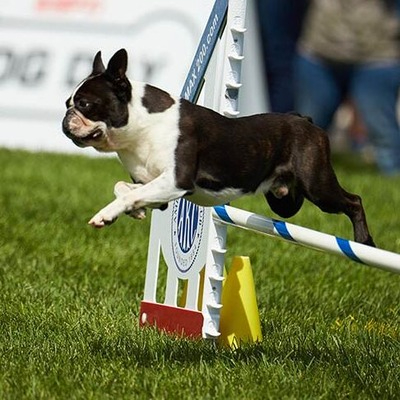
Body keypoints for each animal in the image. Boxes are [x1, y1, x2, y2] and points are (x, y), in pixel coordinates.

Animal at [61, 48, 376, 245]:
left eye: (85, 105)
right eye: (67, 103)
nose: (66, 118)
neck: (141, 126)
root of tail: (306, 121)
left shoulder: (176, 181)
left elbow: (128, 194)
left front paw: (106, 214)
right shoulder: (156, 189)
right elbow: (123, 188)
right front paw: (134, 210)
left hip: (318, 186)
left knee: (354, 201)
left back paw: (365, 241)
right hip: (285, 200)